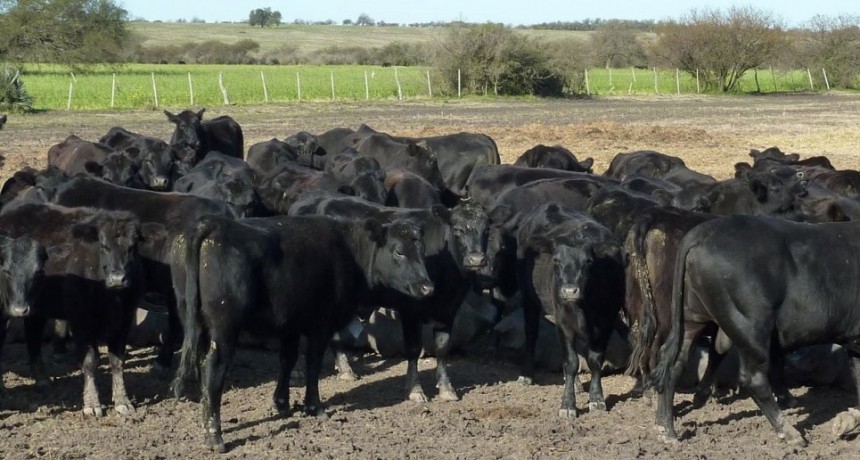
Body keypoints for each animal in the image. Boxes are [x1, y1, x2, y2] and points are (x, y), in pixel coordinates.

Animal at [0, 235, 46, 394]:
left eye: (38, 273)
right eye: (6, 271)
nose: (20, 310)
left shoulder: (36, 313)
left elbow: (34, 344)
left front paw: (42, 381)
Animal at [171, 216, 434, 452]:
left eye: (421, 250)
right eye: (399, 252)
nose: (427, 287)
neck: (349, 252)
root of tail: (213, 223)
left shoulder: (291, 325)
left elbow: (287, 360)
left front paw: (282, 403)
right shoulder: (320, 325)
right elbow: (313, 365)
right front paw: (314, 407)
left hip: (196, 323)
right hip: (223, 330)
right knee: (213, 373)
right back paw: (215, 437)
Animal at [510, 204, 624, 416]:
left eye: (588, 261)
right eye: (556, 260)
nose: (569, 291)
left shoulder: (607, 321)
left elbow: (595, 360)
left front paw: (597, 399)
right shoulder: (563, 321)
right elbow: (570, 362)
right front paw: (568, 405)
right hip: (529, 296)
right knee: (531, 333)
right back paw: (527, 374)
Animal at [660, 216, 860, 446]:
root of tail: (702, 232)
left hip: (692, 316)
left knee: (674, 360)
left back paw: (667, 429)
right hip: (751, 325)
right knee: (754, 378)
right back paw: (790, 433)